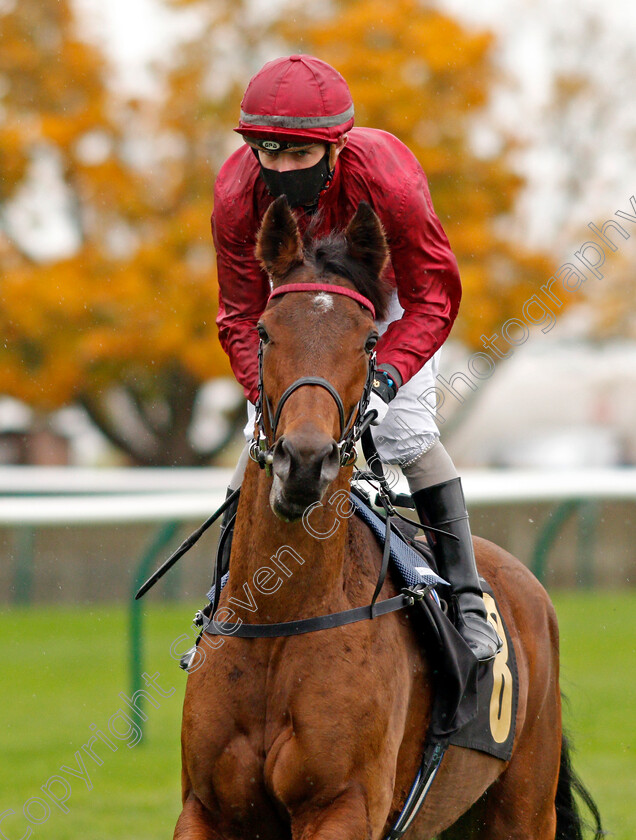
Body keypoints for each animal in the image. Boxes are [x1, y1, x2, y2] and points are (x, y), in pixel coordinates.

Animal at [174, 199, 600, 840]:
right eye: (265, 331)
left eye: (369, 338)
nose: (305, 462)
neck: (282, 618)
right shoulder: (207, 809)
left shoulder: (344, 805)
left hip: (524, 806)